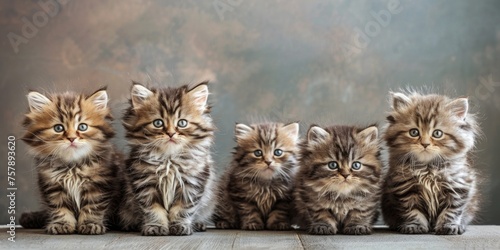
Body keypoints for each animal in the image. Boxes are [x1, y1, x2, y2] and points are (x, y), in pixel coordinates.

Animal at [19, 88, 123, 234]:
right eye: (58, 128)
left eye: (82, 127)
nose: (72, 138)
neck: (72, 165)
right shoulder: (53, 186)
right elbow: (59, 208)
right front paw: (62, 224)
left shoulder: (99, 184)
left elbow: (92, 207)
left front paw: (90, 224)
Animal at [120, 82, 218, 236]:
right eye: (158, 123)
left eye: (182, 123)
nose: (171, 134)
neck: (168, 160)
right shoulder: (144, 183)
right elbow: (152, 210)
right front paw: (156, 227)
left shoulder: (191, 184)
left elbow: (183, 209)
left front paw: (180, 226)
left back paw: (198, 224)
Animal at [382, 92, 480, 234]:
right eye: (414, 132)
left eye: (437, 133)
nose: (425, 144)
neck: (428, 168)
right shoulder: (406, 188)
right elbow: (412, 210)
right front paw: (415, 226)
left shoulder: (457, 186)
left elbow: (451, 211)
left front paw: (449, 226)